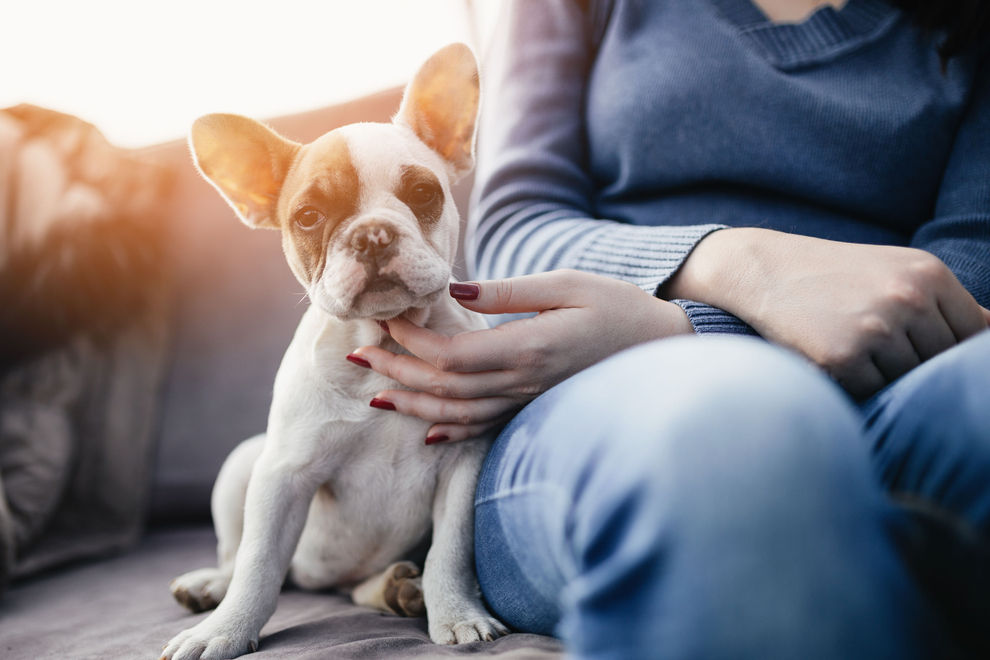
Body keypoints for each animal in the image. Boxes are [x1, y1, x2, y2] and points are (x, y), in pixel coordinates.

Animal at [161, 43, 512, 656]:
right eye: (307, 216)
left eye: (424, 193)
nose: (372, 234)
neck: (385, 340)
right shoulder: (281, 476)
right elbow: (258, 566)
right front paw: (225, 631)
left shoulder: (462, 462)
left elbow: (450, 551)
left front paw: (457, 614)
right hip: (242, 465)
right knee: (241, 557)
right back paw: (212, 587)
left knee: (361, 586)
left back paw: (398, 589)